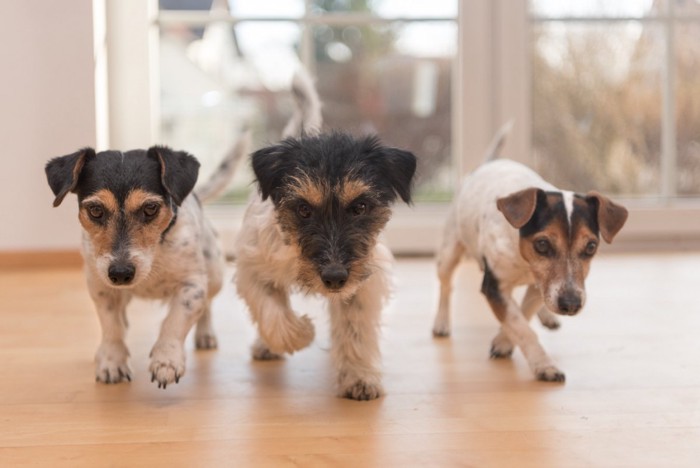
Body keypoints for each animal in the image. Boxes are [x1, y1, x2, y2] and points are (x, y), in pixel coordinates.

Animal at [44, 133, 252, 388]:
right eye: (95, 210)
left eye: (150, 208)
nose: (120, 273)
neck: (155, 255)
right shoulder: (100, 286)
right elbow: (111, 325)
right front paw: (112, 360)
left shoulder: (192, 285)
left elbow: (175, 321)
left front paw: (166, 360)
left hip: (214, 276)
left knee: (207, 305)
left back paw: (205, 334)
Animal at [432, 123, 628, 380]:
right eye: (542, 244)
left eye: (591, 247)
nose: (570, 304)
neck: (522, 259)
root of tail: (486, 164)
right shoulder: (494, 286)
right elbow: (521, 326)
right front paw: (544, 364)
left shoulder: (541, 287)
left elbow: (522, 315)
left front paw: (504, 341)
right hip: (450, 252)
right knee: (446, 286)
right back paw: (441, 322)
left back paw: (546, 316)